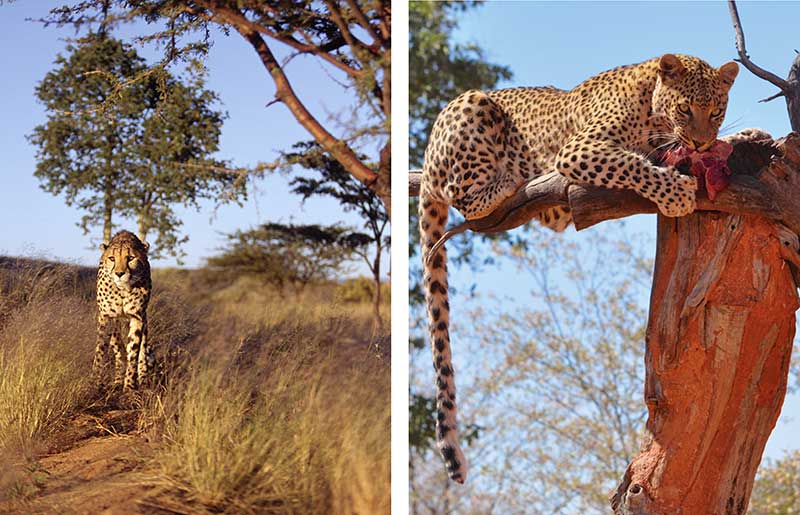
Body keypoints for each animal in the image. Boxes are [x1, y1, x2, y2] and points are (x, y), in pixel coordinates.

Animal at [92, 230, 153, 391]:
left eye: (131, 258)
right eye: (112, 258)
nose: (119, 273)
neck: (123, 290)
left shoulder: (137, 317)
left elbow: (134, 351)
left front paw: (130, 386)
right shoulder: (106, 317)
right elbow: (101, 349)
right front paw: (95, 381)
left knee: (142, 350)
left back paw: (143, 380)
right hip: (116, 326)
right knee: (118, 350)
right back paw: (117, 380)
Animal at [418, 54, 740, 483]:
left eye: (716, 110)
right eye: (685, 109)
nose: (702, 143)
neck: (651, 106)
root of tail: (425, 154)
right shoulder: (578, 149)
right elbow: (631, 165)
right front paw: (675, 194)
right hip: (472, 107)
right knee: (461, 195)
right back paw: (507, 180)